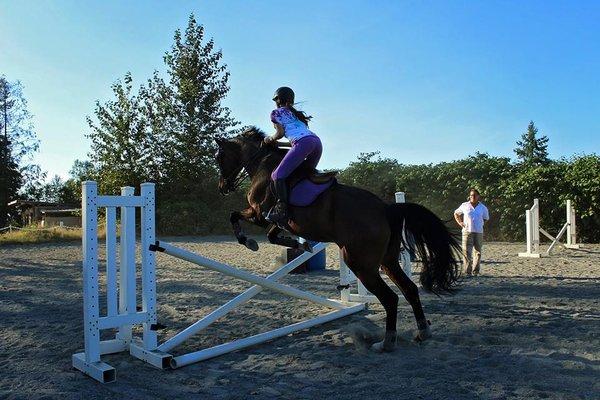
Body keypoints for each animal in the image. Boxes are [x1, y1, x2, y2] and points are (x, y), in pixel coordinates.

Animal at [214, 126, 460, 352]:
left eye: (219, 157)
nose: (223, 187)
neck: (262, 165)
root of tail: (385, 208)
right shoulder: (277, 220)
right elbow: (272, 236)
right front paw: (302, 245)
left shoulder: (258, 214)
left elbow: (234, 216)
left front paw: (249, 242)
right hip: (387, 261)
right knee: (409, 290)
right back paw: (422, 332)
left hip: (360, 263)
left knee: (390, 298)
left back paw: (385, 343)